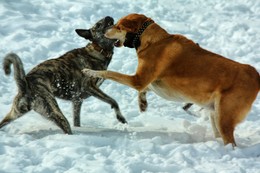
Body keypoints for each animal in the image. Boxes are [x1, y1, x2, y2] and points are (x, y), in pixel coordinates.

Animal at [84, 13, 260, 146]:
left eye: (119, 27)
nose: (105, 31)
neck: (150, 39)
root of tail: (254, 74)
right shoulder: (147, 81)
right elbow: (145, 89)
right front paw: (142, 103)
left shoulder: (138, 80)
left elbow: (109, 73)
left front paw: (90, 72)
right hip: (215, 114)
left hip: (224, 118)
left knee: (231, 142)